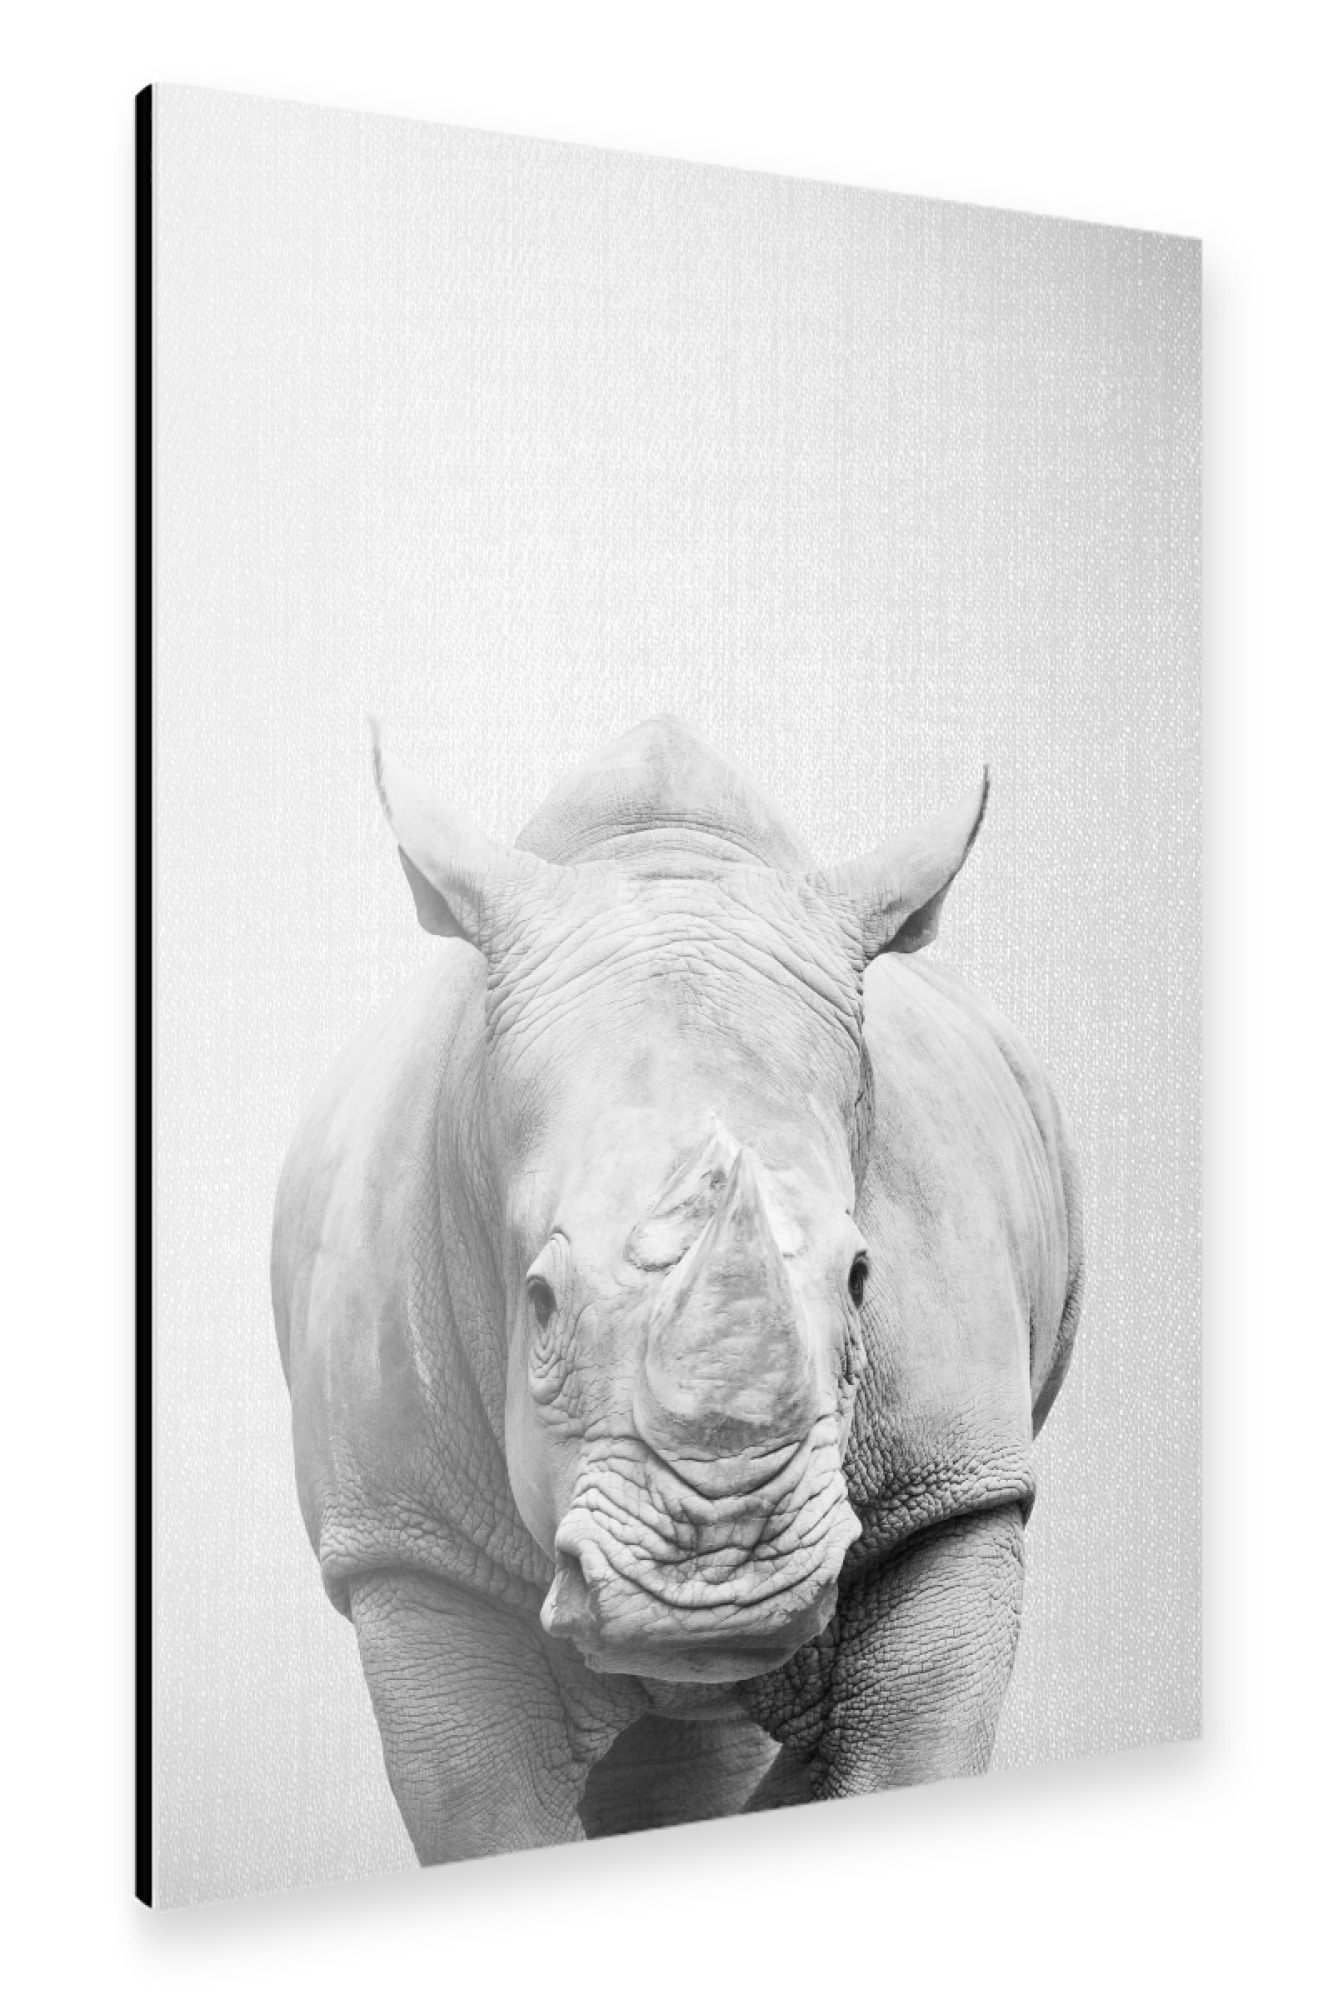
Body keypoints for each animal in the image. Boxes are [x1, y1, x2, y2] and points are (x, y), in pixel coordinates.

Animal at [272, 716, 1082, 1863]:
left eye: (861, 1279)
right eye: (538, 1301)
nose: (717, 1592)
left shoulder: (956, 1487)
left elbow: (911, 1752)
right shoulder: (408, 1539)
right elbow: (485, 1808)